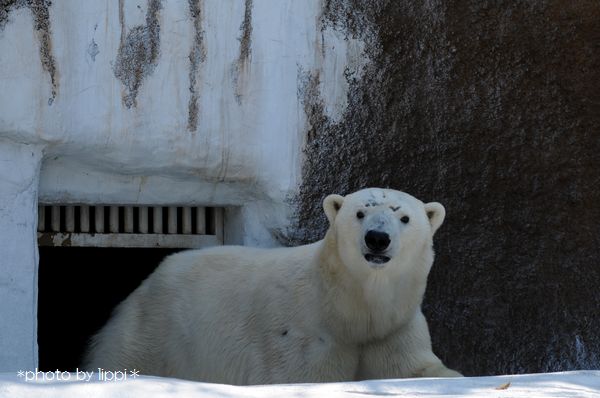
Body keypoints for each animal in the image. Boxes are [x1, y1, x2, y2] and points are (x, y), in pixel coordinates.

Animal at [83, 188, 460, 384]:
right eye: (359, 213)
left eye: (404, 217)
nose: (377, 238)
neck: (346, 309)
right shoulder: (303, 336)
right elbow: (300, 376)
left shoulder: (393, 327)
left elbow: (418, 368)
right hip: (158, 333)